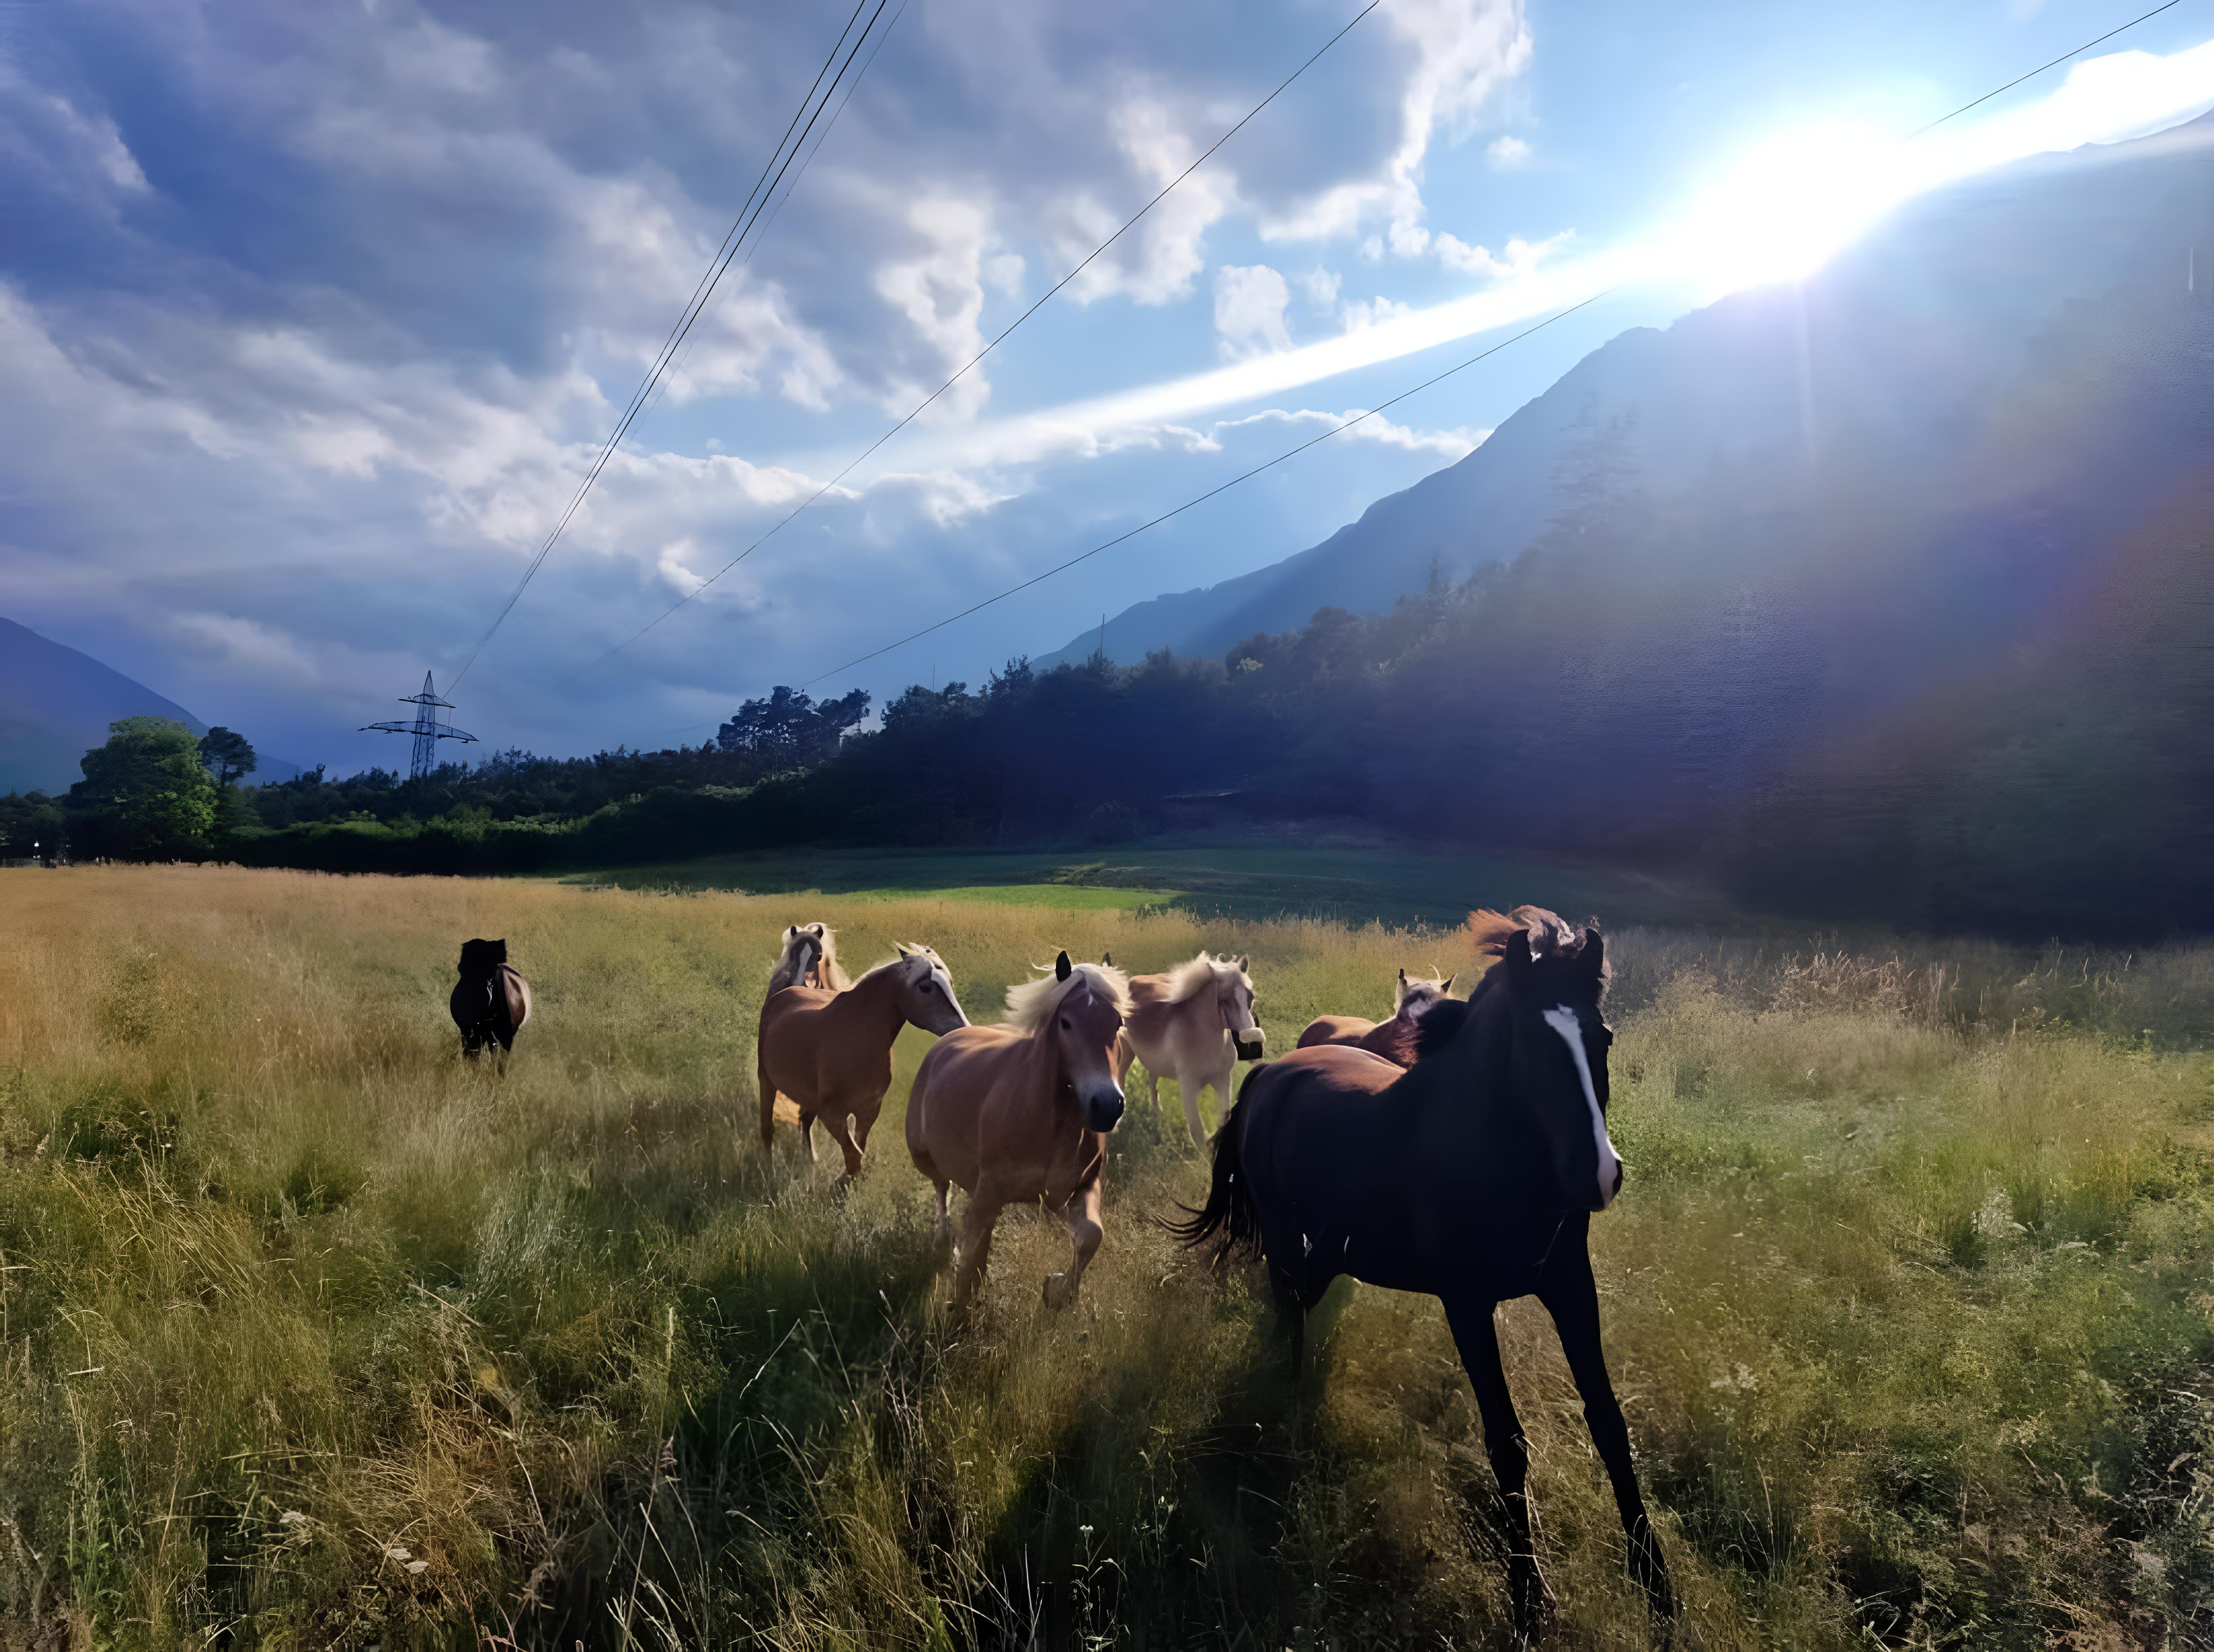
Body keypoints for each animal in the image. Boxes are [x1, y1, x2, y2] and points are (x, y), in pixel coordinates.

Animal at [757, 944, 968, 1177]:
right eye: (925, 988)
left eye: (949, 982)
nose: (964, 1030)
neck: (855, 1041)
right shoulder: (832, 1115)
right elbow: (853, 1155)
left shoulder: (868, 1111)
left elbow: (857, 1151)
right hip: (766, 1081)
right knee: (767, 1127)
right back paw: (768, 1169)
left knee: (804, 1121)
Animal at [907, 951, 1130, 1309]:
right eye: (1066, 1023)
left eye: (1118, 1023)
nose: (1108, 1105)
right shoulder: (989, 1193)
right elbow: (972, 1255)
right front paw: (959, 1309)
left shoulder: (1074, 1190)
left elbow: (1091, 1236)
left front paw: (1059, 1291)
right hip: (927, 1158)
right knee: (942, 1189)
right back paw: (942, 1244)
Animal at [1119, 952, 1264, 1145]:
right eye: (1224, 1000)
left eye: (1250, 997)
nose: (1254, 1047)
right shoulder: (1188, 1087)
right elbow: (1198, 1134)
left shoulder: (1223, 1079)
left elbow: (1223, 1118)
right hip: (1126, 1050)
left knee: (1153, 1081)